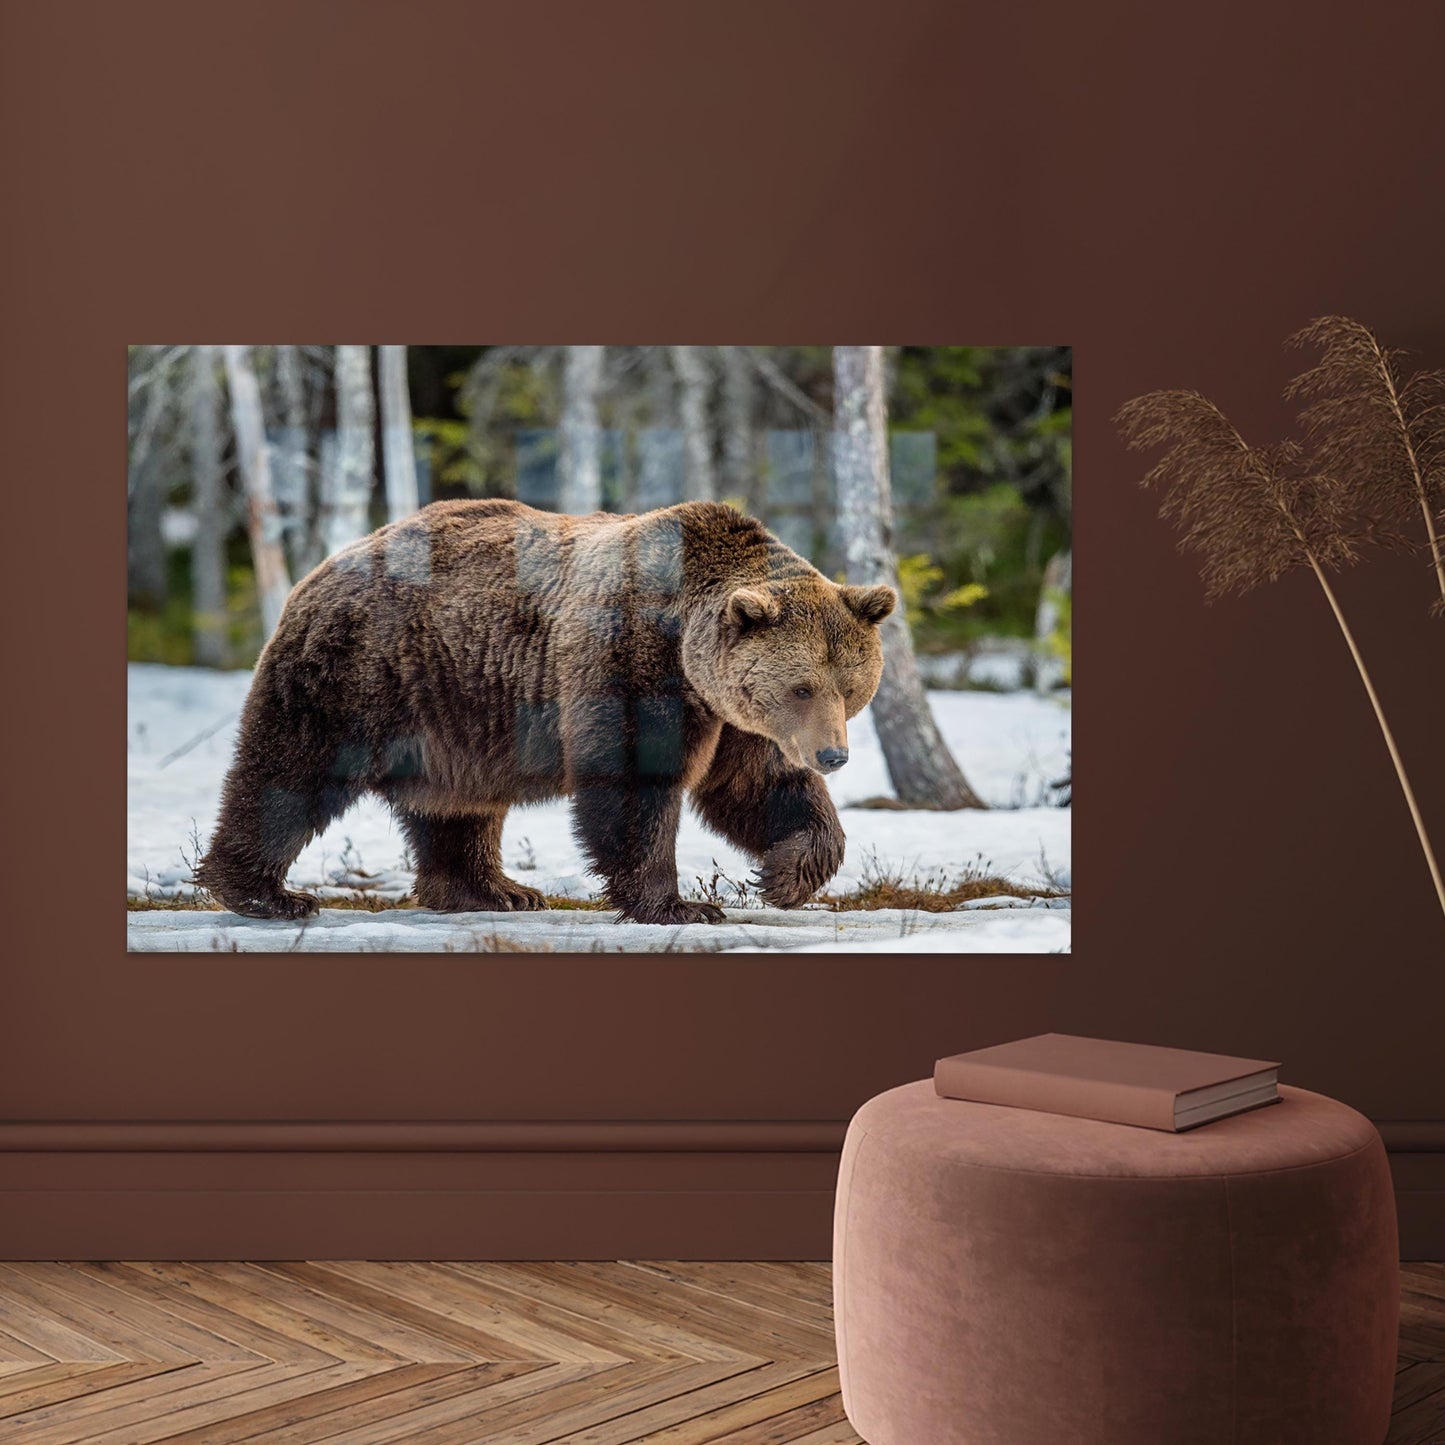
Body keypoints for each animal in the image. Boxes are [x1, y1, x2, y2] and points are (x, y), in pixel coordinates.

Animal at [195, 499, 896, 926]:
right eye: (802, 686)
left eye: (849, 686)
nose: (833, 755)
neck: (685, 645)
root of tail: (322, 568)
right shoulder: (631, 663)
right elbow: (634, 786)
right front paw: (678, 905)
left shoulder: (732, 716)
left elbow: (756, 785)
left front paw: (783, 875)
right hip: (361, 674)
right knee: (291, 772)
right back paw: (266, 893)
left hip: (455, 714)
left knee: (457, 808)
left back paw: (495, 890)